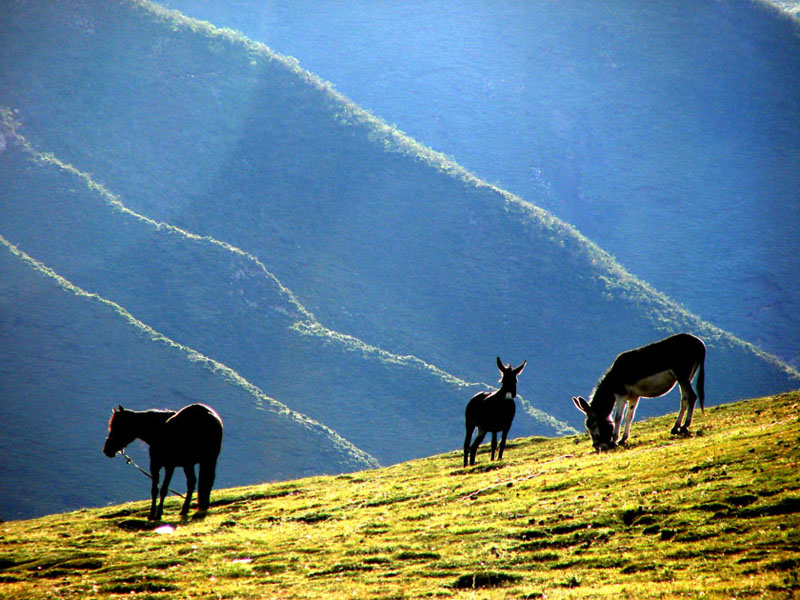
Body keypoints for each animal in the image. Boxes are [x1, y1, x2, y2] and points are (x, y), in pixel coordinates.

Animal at [572, 332, 704, 450]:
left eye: (592, 425)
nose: (598, 447)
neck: (613, 379)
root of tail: (699, 343)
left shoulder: (621, 396)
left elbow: (618, 417)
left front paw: (614, 441)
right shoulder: (634, 397)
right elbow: (629, 416)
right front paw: (623, 439)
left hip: (682, 376)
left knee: (692, 397)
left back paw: (684, 426)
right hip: (685, 378)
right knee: (685, 399)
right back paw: (676, 428)